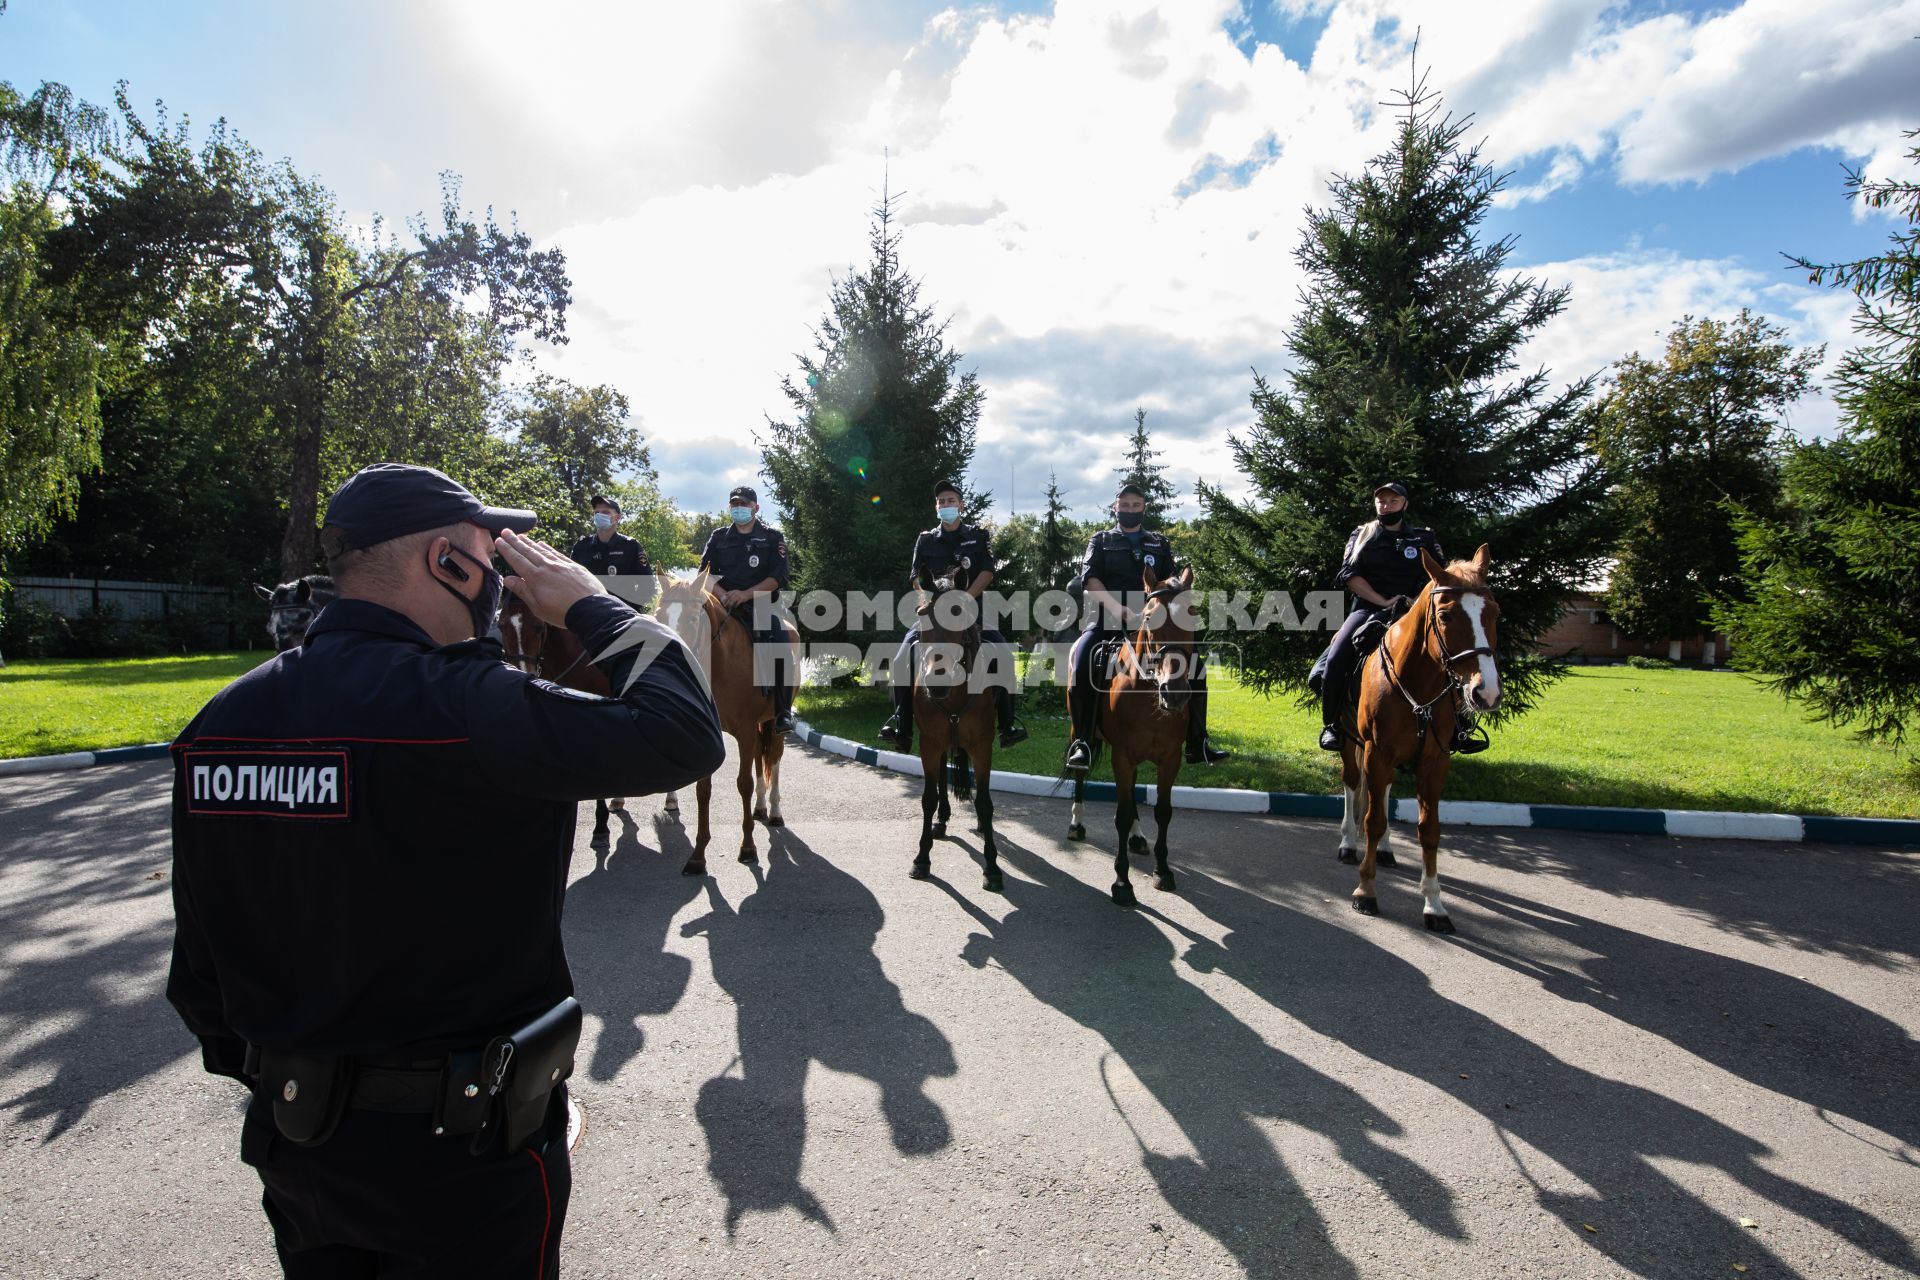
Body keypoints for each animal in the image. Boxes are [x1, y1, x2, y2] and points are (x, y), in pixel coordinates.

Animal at [656, 575, 798, 875]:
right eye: (660, 615)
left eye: (692, 618)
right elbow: (703, 790)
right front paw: (698, 856)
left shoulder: (745, 731)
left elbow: (743, 783)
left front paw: (748, 848)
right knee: (759, 759)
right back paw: (760, 808)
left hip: (773, 724)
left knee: (774, 759)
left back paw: (775, 812)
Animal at [910, 579, 1006, 890]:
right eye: (921, 614)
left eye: (959, 614)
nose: (937, 682)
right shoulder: (929, 744)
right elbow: (928, 797)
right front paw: (922, 858)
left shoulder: (982, 747)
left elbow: (985, 803)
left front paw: (992, 866)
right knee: (942, 776)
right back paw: (941, 820)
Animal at [1067, 564, 1198, 905]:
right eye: (1149, 618)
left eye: (1193, 615)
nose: (1175, 694)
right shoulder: (1122, 756)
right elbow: (1122, 815)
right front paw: (1122, 882)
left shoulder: (1170, 758)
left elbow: (1163, 812)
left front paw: (1163, 871)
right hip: (1079, 731)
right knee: (1080, 774)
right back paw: (1076, 823)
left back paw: (1138, 837)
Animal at [1336, 545, 1497, 932]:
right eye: (1446, 616)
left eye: (1494, 613)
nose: (1486, 692)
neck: (1419, 687)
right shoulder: (1376, 752)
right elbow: (1373, 820)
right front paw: (1366, 892)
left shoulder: (1435, 761)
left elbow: (1429, 830)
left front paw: (1435, 905)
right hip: (1351, 742)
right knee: (1353, 784)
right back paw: (1349, 843)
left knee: (1384, 793)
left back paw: (1385, 850)